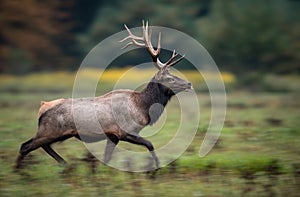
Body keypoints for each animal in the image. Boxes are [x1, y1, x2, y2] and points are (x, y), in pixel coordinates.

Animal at [15, 20, 192, 170]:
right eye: (170, 78)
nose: (189, 83)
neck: (142, 106)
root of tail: (42, 107)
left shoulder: (112, 136)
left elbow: (107, 158)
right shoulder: (124, 131)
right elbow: (150, 144)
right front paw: (155, 169)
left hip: (53, 132)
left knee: (40, 146)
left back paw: (64, 164)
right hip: (49, 130)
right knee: (25, 146)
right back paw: (19, 172)